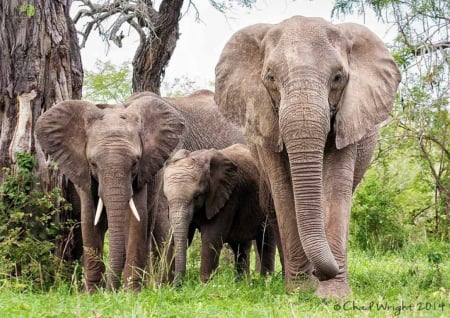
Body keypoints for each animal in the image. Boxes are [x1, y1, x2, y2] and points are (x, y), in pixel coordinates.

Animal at [36, 90, 244, 294]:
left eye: (135, 162)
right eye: (93, 164)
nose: (111, 290)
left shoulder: (151, 169)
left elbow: (138, 217)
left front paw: (132, 292)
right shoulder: (82, 170)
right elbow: (89, 219)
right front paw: (91, 293)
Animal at [163, 144, 276, 284]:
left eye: (197, 196)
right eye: (166, 197)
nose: (178, 284)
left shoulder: (227, 196)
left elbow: (211, 239)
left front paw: (204, 285)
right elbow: (175, 239)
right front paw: (166, 285)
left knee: (266, 242)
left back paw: (266, 281)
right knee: (240, 246)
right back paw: (242, 283)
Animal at [214, 14, 400, 298]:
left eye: (338, 77)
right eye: (270, 77)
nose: (323, 273)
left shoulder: (349, 116)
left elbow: (336, 187)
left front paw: (334, 295)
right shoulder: (266, 120)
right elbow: (283, 189)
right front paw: (301, 289)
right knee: (273, 208)